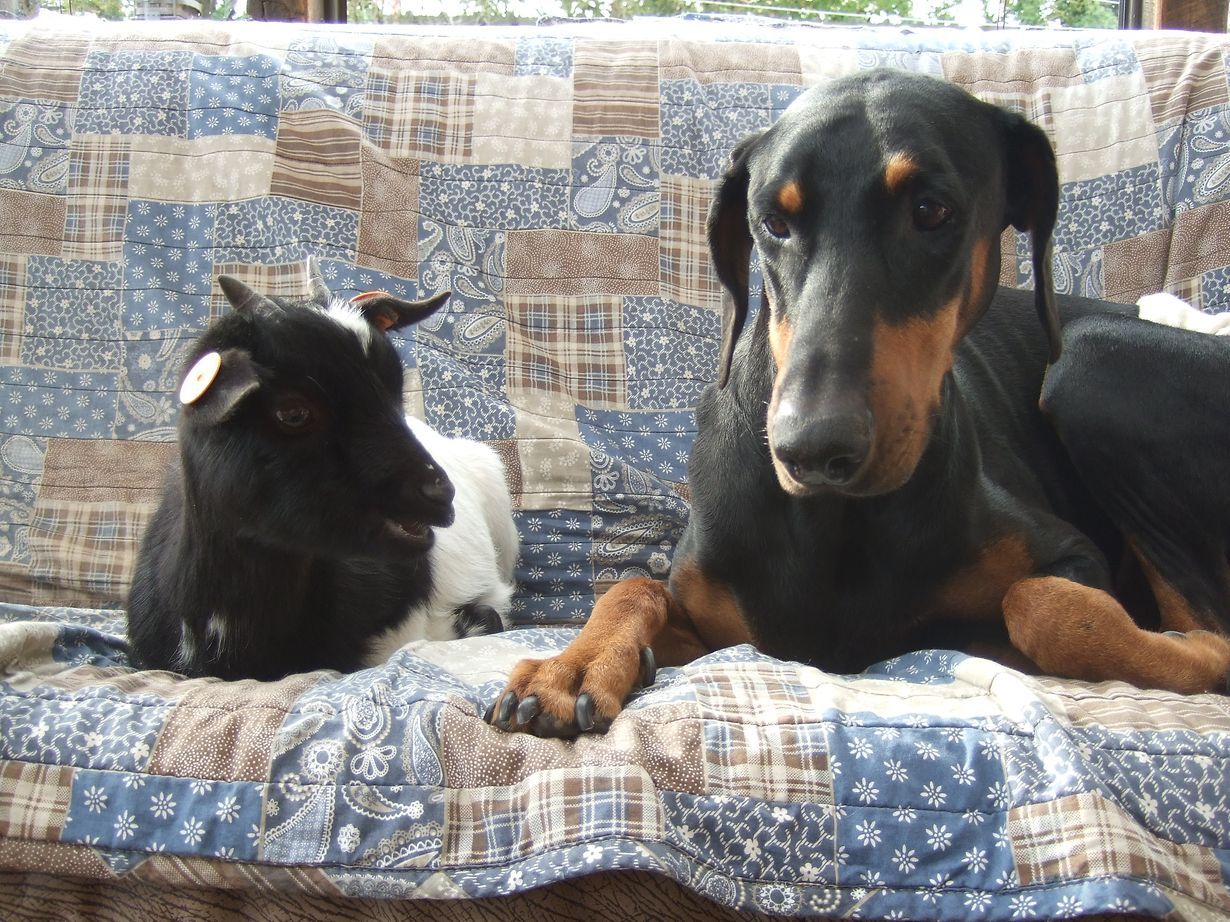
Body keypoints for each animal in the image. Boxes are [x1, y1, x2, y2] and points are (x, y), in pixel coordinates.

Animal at [487, 68, 1230, 736]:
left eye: (931, 210)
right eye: (771, 222)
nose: (813, 449)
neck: (839, 521)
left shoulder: (1073, 555)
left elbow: (1038, 604)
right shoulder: (711, 616)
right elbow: (634, 586)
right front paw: (570, 668)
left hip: (1089, 360)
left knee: (1210, 634)